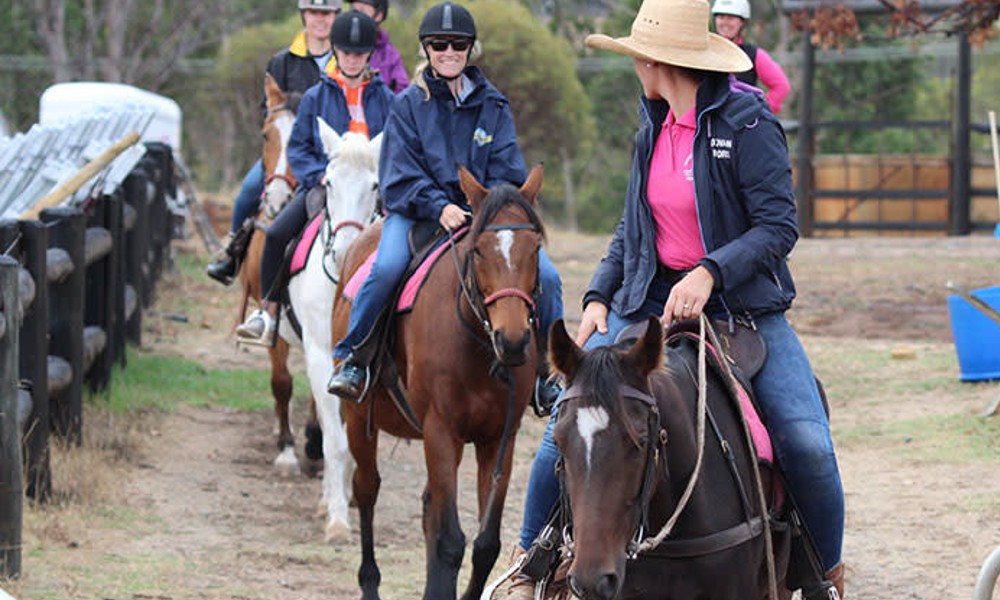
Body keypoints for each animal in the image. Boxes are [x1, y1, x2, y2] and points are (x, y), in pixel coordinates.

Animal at [328, 165, 548, 600]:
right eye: (478, 250)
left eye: (535, 249)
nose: (513, 341)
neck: (476, 343)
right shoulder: (441, 431)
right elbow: (449, 540)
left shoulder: (499, 439)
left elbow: (485, 543)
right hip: (358, 418)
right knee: (367, 490)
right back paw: (369, 582)